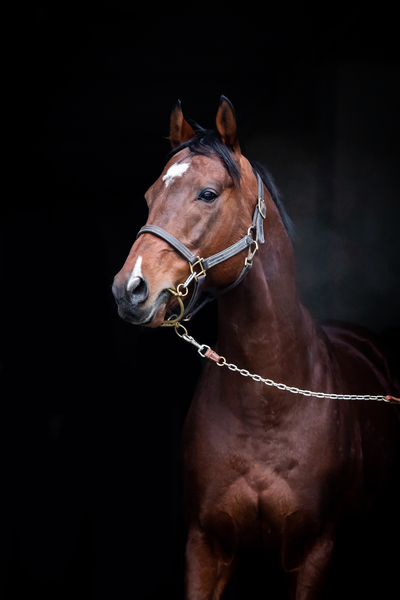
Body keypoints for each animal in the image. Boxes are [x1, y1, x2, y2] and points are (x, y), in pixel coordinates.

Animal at [111, 96, 400, 596]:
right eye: (149, 196)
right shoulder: (205, 546)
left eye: (208, 194)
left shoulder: (316, 553)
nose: (129, 289)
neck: (266, 407)